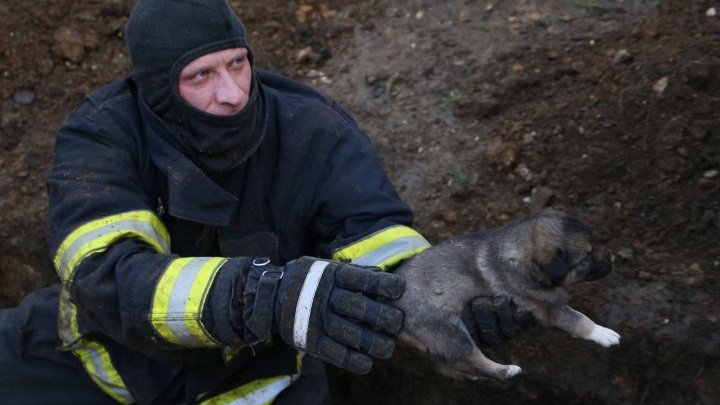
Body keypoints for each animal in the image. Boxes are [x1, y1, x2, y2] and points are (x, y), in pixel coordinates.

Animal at [390, 207, 620, 380]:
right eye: (586, 256)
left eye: (595, 239)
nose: (611, 259)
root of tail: (394, 307)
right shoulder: (547, 308)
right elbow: (578, 319)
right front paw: (603, 333)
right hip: (448, 330)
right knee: (471, 358)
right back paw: (507, 370)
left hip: (439, 339)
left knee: (447, 366)